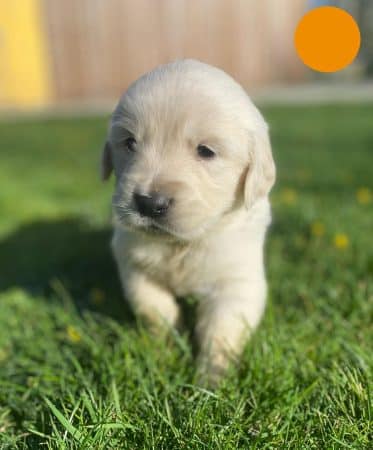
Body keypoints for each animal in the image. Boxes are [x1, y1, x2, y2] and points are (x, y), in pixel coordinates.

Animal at [100, 59, 274, 384]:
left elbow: (221, 330)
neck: (182, 244)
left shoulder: (237, 282)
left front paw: (211, 378)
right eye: (129, 143)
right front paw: (167, 350)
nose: (149, 203)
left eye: (206, 151)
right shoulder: (134, 267)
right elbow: (155, 309)